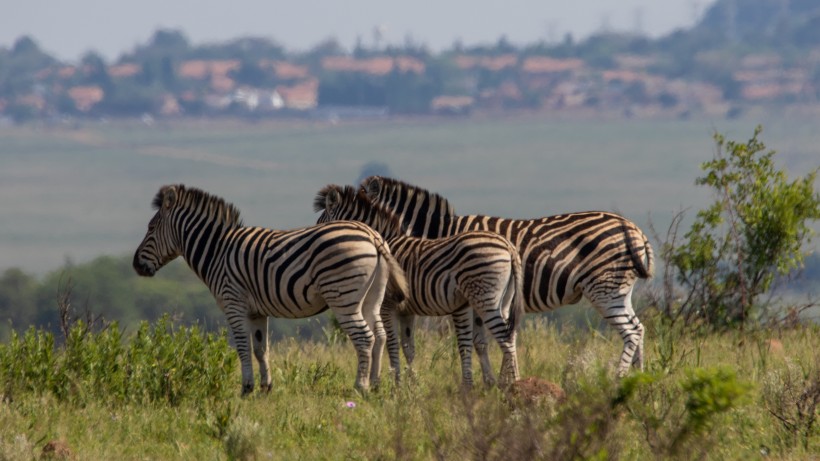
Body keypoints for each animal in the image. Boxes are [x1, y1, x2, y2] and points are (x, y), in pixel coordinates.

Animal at [134, 182, 410, 392]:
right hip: (371, 297)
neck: (217, 250)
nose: (136, 265)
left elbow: (243, 347)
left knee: (365, 337)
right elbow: (260, 349)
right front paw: (266, 387)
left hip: (342, 297)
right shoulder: (257, 311)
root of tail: (373, 235)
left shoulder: (234, 304)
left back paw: (360, 387)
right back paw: (375, 384)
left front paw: (246, 389)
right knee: (380, 335)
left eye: (150, 228)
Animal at [310, 183, 524, 384]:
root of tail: (508, 246)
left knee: (505, 337)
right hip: (504, 301)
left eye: (321, 224)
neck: (385, 240)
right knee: (511, 335)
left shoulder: (387, 305)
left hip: (485, 298)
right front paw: (410, 383)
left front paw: (396, 382)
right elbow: (408, 348)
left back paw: (513, 384)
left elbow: (391, 343)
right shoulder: (407, 310)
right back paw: (508, 382)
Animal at [358, 176, 652, 378]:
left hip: (604, 289)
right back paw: (639, 376)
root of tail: (632, 228)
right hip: (619, 290)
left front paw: (500, 380)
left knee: (631, 331)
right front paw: (499, 380)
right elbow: (484, 342)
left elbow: (482, 341)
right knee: (638, 328)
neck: (440, 233)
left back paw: (618, 378)